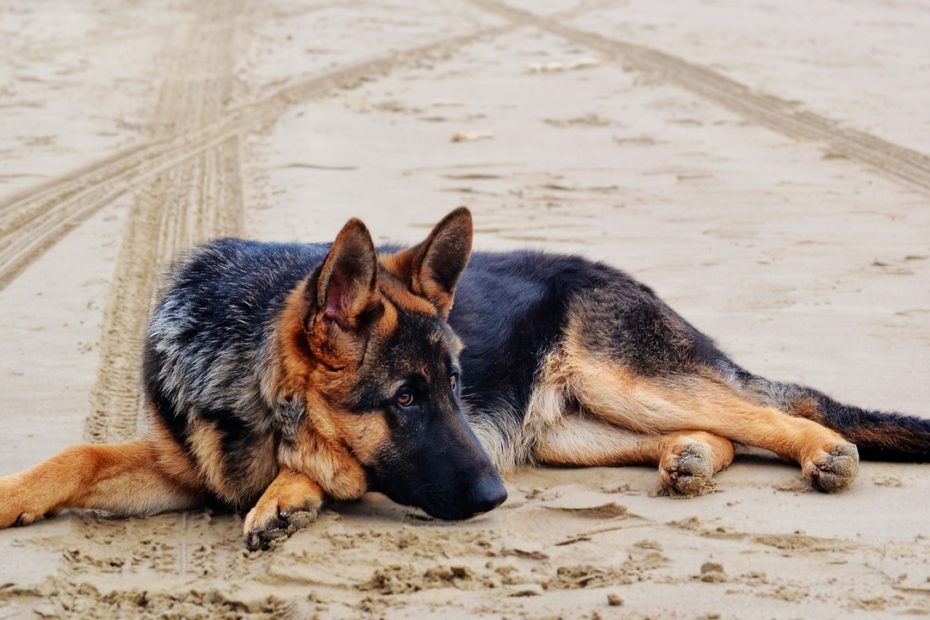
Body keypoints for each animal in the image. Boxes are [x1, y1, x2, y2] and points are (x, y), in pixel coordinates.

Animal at [1, 208, 928, 548]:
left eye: (452, 387)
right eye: (407, 397)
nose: (494, 500)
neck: (250, 388)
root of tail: (617, 274)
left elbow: (320, 467)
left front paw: (289, 495)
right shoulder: (176, 466)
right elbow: (78, 457)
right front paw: (14, 495)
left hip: (625, 380)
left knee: (772, 412)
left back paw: (824, 453)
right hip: (567, 436)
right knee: (715, 432)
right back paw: (690, 459)